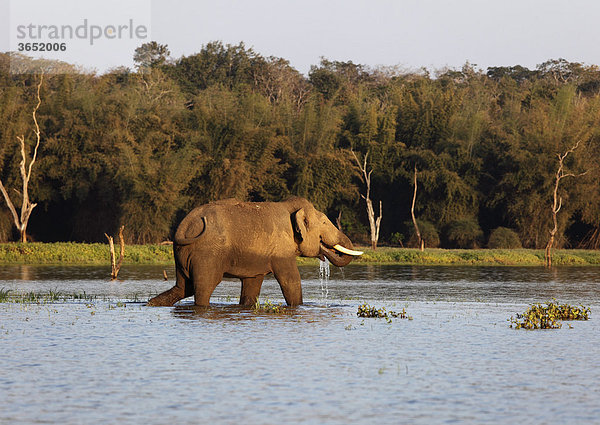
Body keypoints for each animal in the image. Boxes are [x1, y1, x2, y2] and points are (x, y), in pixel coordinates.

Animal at [146, 197, 360, 306]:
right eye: (324, 222)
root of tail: (184, 226)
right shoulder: (281, 248)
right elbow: (290, 280)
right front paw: (298, 307)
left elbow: (252, 284)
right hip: (206, 254)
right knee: (203, 287)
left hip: (182, 253)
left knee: (184, 286)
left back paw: (151, 303)